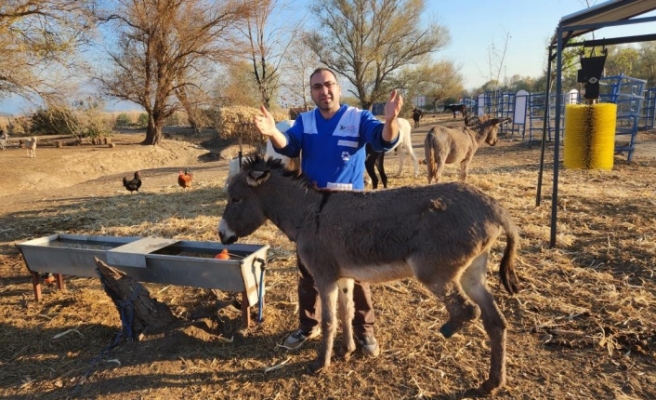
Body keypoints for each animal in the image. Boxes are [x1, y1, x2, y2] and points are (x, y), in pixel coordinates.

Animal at [218, 155, 520, 394]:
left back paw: (449, 329)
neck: (309, 213)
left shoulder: (324, 277)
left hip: (434, 272)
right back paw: (492, 383)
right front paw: (347, 350)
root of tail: (494, 207)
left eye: (236, 199)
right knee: (495, 321)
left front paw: (320, 363)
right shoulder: (343, 277)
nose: (221, 235)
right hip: (472, 273)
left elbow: (329, 321)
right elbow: (346, 312)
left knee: (468, 310)